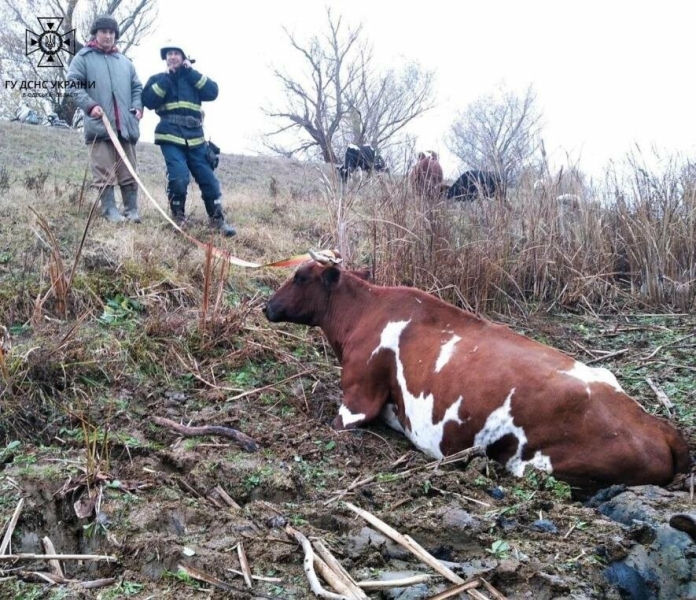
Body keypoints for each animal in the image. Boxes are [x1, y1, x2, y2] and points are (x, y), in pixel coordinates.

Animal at [266, 253, 692, 492]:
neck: (363, 314)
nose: (267, 306)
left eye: (300, 276)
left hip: (538, 463)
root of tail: (659, 426)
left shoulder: (357, 400)